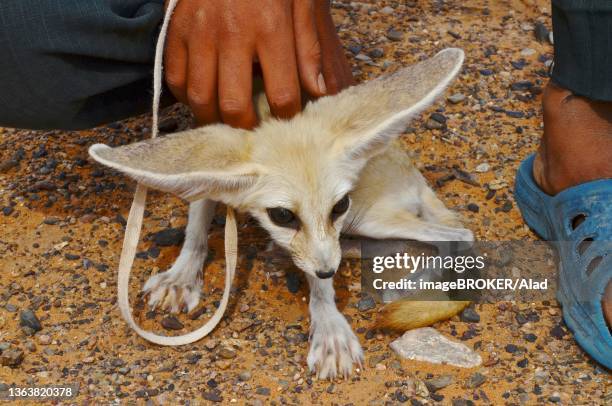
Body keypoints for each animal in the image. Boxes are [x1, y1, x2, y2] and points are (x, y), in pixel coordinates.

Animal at [89, 48, 474, 380]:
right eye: (283, 216)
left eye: (339, 205)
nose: (328, 270)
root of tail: (411, 171)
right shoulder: (209, 161)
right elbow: (197, 222)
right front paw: (181, 277)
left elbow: (319, 281)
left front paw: (330, 329)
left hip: (371, 217)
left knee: (459, 234)